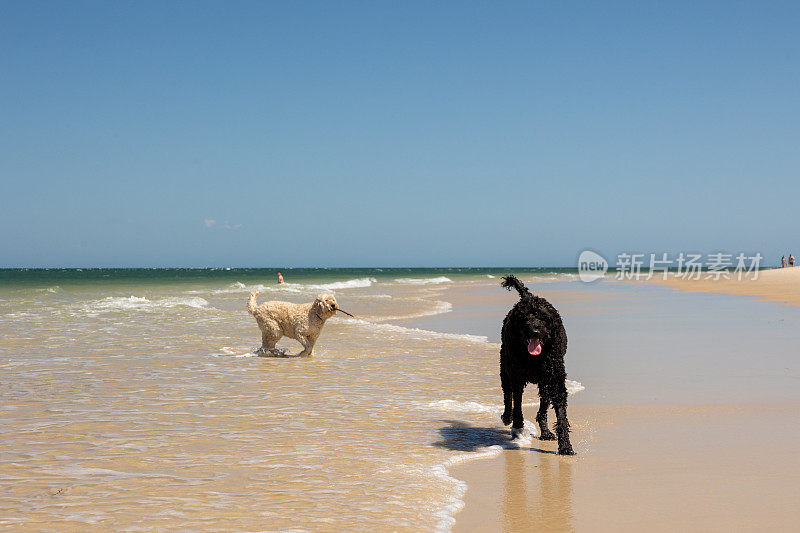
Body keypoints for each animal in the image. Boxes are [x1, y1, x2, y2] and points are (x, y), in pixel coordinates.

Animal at [496, 274, 572, 454]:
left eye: (544, 318)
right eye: (525, 318)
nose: (535, 332)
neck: (534, 358)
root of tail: (528, 297)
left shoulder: (555, 380)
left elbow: (561, 414)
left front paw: (565, 446)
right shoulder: (516, 376)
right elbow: (517, 403)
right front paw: (517, 426)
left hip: (545, 383)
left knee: (542, 408)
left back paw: (545, 432)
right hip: (505, 369)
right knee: (507, 395)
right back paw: (507, 417)